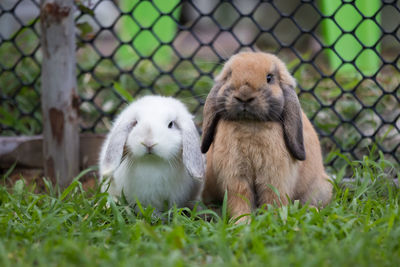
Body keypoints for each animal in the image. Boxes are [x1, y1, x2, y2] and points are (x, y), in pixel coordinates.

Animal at [202, 51, 332, 222]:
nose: (244, 95)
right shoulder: (235, 176)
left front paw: (273, 219)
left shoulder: (274, 178)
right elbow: (240, 199)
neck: (250, 124)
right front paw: (242, 222)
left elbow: (272, 199)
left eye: (269, 78)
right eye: (229, 75)